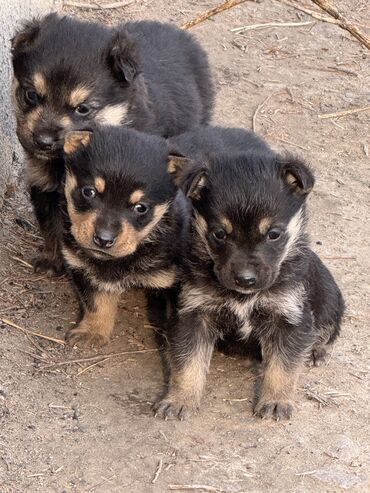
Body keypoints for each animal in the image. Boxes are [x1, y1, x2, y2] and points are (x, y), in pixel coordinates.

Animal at [11, 12, 214, 272]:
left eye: (83, 108)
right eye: (31, 95)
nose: (43, 141)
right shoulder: (43, 183)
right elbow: (50, 223)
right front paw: (52, 259)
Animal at [60, 127, 188, 346]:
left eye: (141, 207)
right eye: (89, 191)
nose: (104, 239)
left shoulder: (172, 283)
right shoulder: (81, 267)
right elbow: (95, 303)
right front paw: (92, 332)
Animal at [153, 126, 344, 418]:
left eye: (274, 234)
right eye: (219, 234)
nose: (246, 279)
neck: (244, 297)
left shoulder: (289, 317)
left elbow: (283, 367)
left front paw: (276, 401)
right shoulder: (192, 315)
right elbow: (187, 365)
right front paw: (179, 400)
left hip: (331, 300)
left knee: (326, 331)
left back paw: (316, 351)